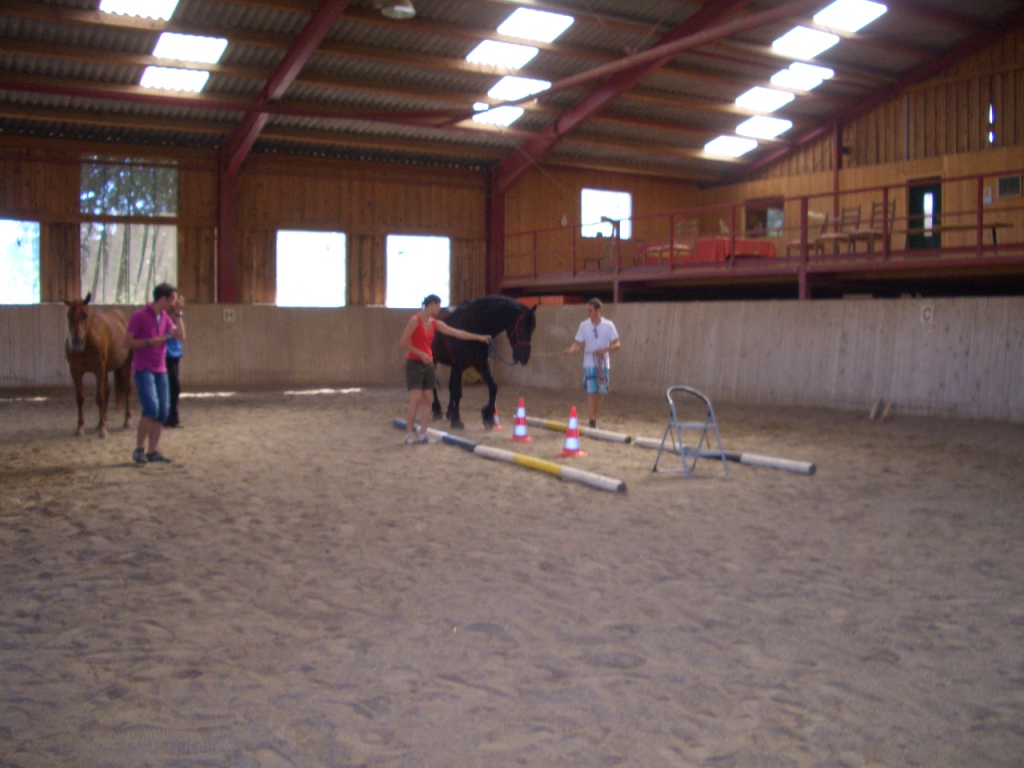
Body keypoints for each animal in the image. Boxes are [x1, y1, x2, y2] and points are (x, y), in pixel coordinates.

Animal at [64, 293, 133, 438]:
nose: (76, 342)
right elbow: (80, 398)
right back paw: (102, 419)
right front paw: (80, 427)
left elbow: (99, 397)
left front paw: (103, 430)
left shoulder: (99, 369)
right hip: (106, 370)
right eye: (69, 315)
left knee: (126, 390)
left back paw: (127, 420)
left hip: (125, 365)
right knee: (107, 390)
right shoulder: (75, 371)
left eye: (85, 315)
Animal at [430, 295, 537, 430]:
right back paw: (437, 411)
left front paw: (488, 417)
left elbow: (493, 387)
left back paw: (449, 412)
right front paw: (457, 420)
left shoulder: (480, 364)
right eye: (521, 328)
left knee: (450, 386)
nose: (524, 358)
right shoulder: (459, 365)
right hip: (433, 360)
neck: (471, 328)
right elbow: (458, 392)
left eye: (533, 329)